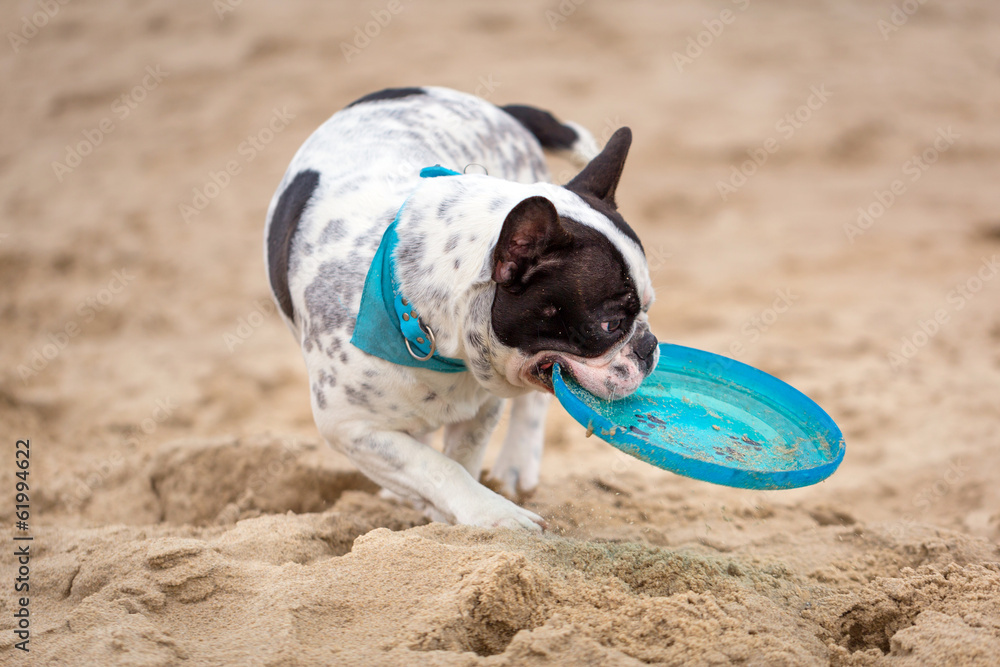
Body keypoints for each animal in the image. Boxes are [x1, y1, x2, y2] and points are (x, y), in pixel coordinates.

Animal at [264, 87, 656, 532]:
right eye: (610, 325)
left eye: (647, 307)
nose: (649, 347)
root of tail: (498, 109)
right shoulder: (350, 427)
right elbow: (435, 466)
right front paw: (495, 514)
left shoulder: (482, 406)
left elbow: (461, 460)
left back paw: (515, 466)